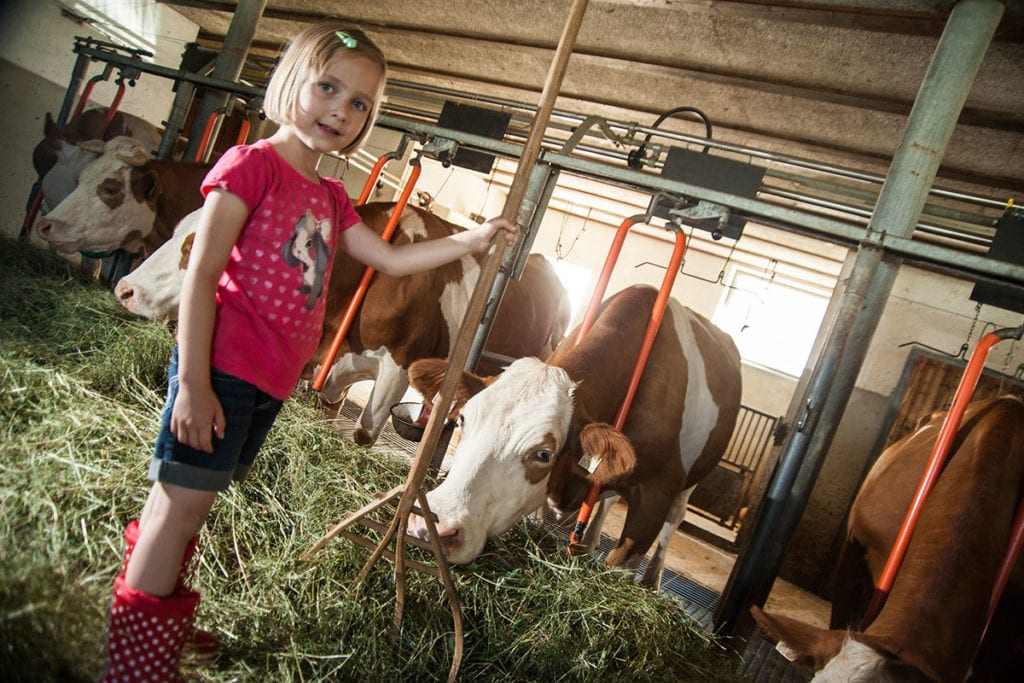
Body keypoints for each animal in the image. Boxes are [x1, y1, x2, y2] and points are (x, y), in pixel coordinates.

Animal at [403, 284, 741, 589]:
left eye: (544, 454)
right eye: (463, 419)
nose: (434, 525)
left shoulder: (658, 489)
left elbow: (621, 564)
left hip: (690, 483)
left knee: (675, 519)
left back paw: (651, 580)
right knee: (609, 501)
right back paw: (588, 544)